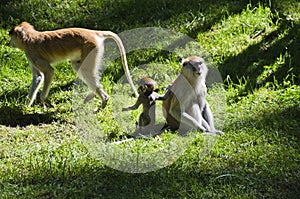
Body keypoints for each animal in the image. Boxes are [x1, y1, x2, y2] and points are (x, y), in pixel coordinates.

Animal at [8, 22, 138, 108]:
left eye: (11, 36)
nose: (9, 43)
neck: (29, 37)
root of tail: (93, 32)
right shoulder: (30, 56)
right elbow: (38, 77)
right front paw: (26, 105)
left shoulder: (31, 53)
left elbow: (49, 72)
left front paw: (44, 100)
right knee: (79, 68)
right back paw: (97, 95)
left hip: (91, 47)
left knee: (85, 71)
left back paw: (103, 99)